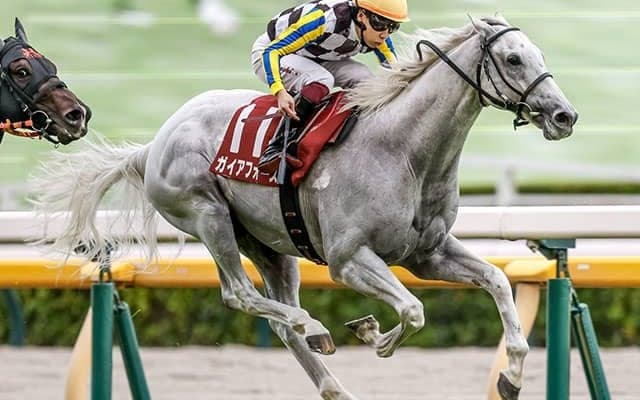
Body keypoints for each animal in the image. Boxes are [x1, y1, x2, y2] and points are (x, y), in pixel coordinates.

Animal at [31, 16, 577, 400]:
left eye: (537, 54)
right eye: (512, 59)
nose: (564, 116)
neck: (404, 150)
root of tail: (151, 147)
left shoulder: (427, 253)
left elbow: (497, 281)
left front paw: (510, 378)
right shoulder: (349, 259)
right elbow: (413, 309)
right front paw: (373, 333)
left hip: (271, 245)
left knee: (280, 320)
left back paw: (333, 379)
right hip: (208, 216)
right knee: (241, 296)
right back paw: (315, 328)